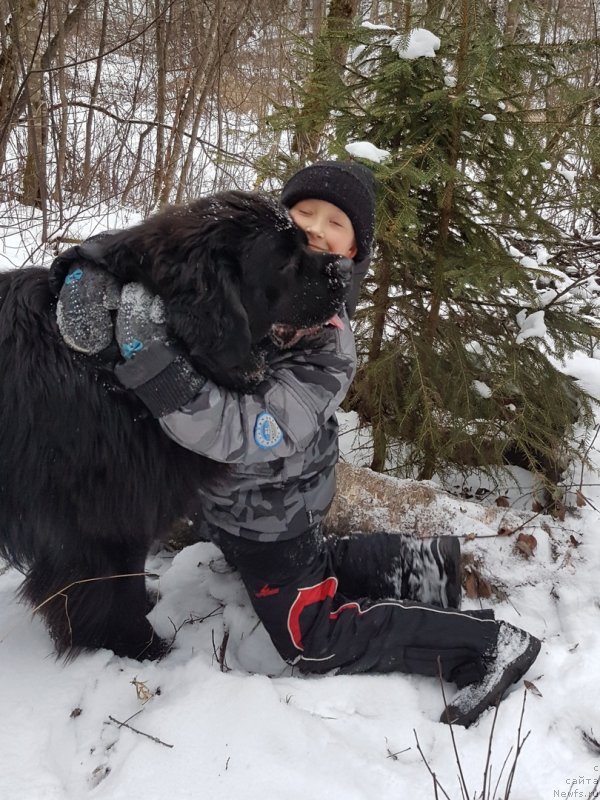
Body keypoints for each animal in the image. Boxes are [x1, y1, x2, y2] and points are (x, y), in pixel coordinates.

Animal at [0, 191, 352, 660]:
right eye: (285, 260)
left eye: (307, 241)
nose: (344, 270)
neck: (111, 368)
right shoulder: (104, 526)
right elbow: (116, 589)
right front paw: (140, 647)